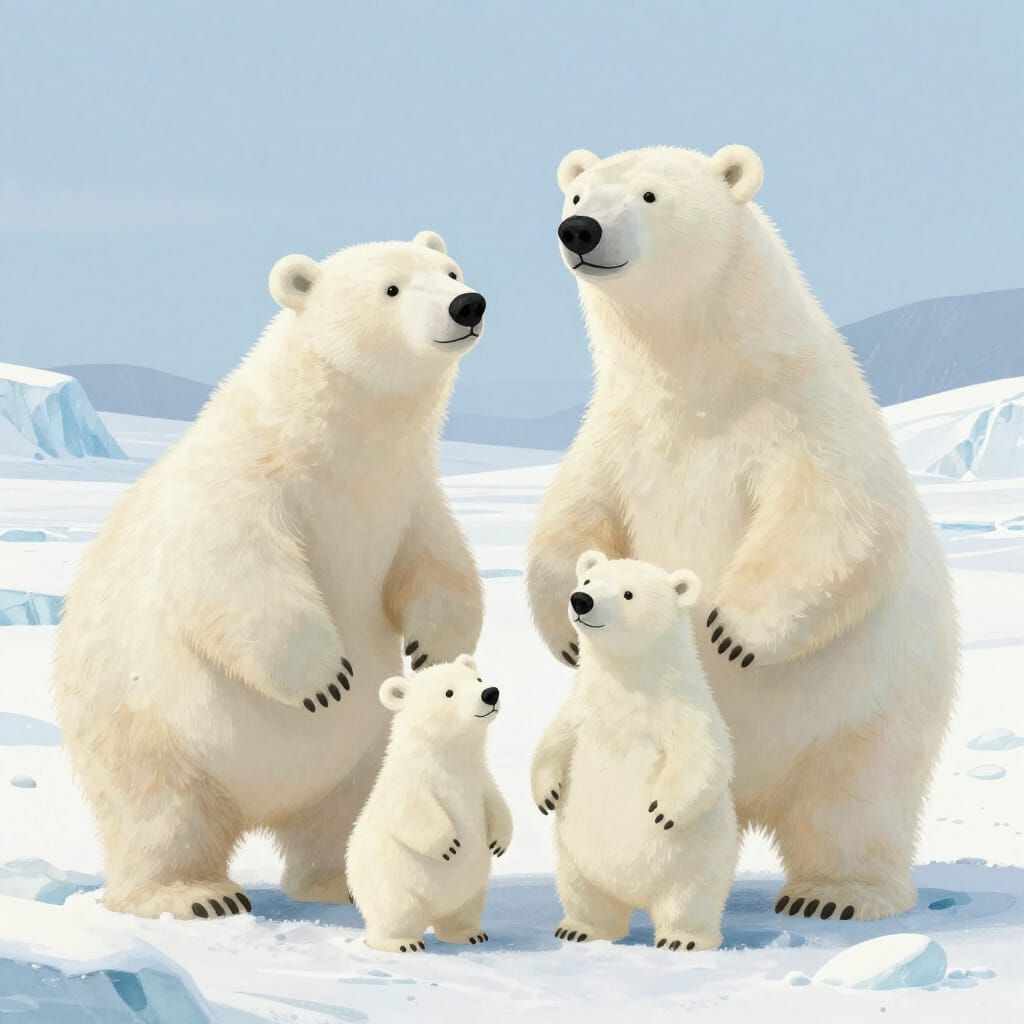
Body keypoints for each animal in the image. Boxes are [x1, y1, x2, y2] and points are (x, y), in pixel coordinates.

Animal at [53, 230, 486, 919]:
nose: (467, 304)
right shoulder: (246, 480)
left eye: (449, 271)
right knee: (159, 814)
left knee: (342, 813)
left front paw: (434, 650)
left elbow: (440, 562)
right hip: (148, 730)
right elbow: (233, 567)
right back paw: (195, 894)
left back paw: (342, 881)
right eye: (391, 287)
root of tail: (260, 809)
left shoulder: (408, 497)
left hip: (359, 754)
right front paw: (325, 679)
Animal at [346, 654, 512, 952]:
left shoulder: (479, 778)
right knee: (397, 913)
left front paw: (498, 842)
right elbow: (412, 811)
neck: (449, 757)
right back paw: (402, 942)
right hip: (393, 886)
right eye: (449, 692)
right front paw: (449, 845)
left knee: (463, 911)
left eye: (478, 679)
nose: (490, 693)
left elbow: (496, 803)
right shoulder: (411, 780)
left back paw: (470, 934)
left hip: (472, 889)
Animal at [532, 552, 737, 951]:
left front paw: (663, 811)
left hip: (696, 863)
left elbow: (707, 757)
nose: (581, 600)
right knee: (584, 895)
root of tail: (637, 898)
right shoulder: (583, 708)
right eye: (589, 580)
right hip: (576, 859)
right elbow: (554, 740)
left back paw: (683, 939)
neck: (628, 681)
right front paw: (547, 794)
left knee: (691, 901)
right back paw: (579, 929)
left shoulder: (683, 709)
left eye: (628, 593)